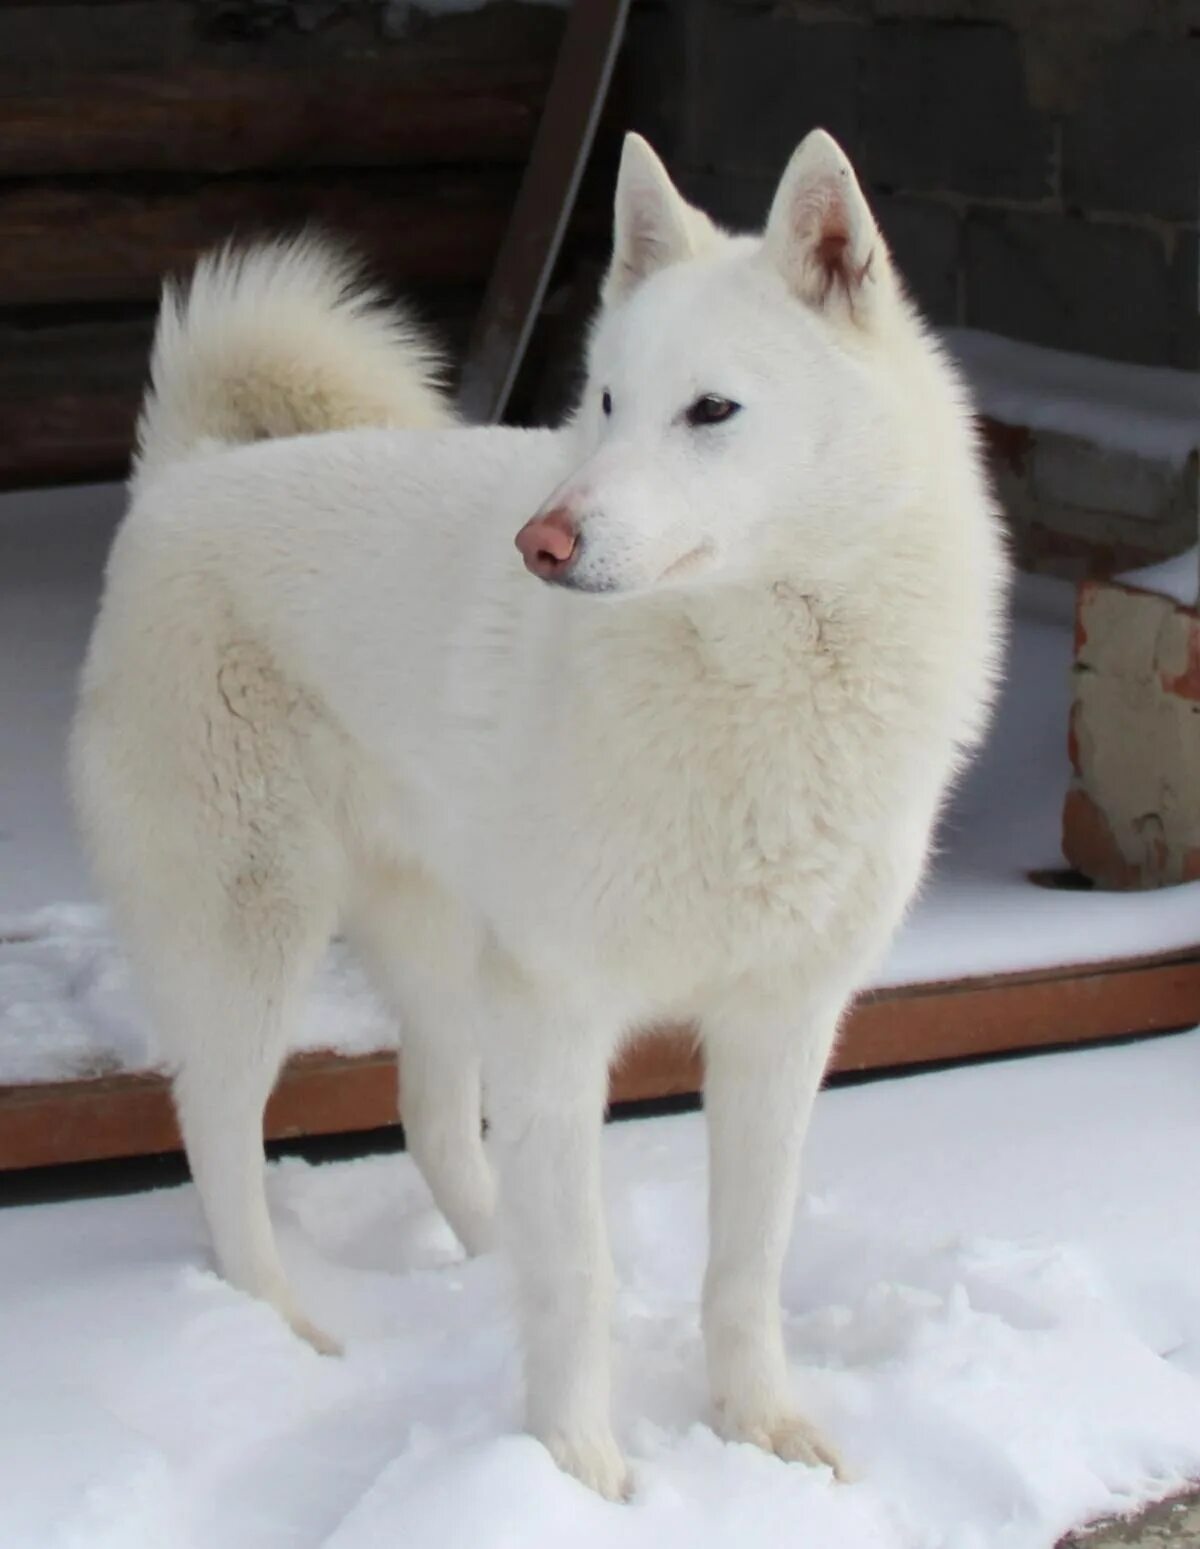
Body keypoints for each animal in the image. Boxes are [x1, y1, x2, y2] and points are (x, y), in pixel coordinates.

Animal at [70, 130, 1009, 1499]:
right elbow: (580, 1273)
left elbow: (747, 1263)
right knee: (218, 1129)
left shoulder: (781, 1023)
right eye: (606, 402)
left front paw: (761, 1431)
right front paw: (579, 1470)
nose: (541, 544)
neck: (750, 680)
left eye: (711, 411)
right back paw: (280, 1328)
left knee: (430, 1119)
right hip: (255, 935)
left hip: (446, 947)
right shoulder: (562, 1012)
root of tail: (183, 476)